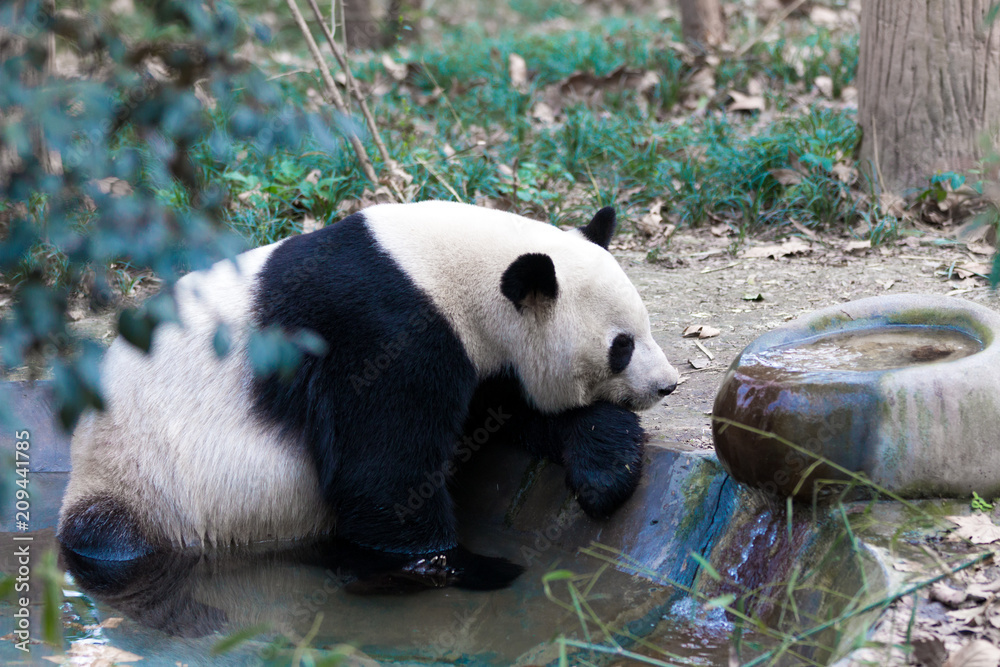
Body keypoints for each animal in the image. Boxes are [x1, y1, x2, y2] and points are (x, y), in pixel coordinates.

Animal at [56, 201, 680, 592]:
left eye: (646, 327)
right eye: (621, 346)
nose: (667, 384)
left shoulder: (477, 360)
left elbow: (508, 412)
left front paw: (606, 470)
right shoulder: (383, 333)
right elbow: (382, 474)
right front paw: (460, 566)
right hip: (148, 480)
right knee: (115, 536)